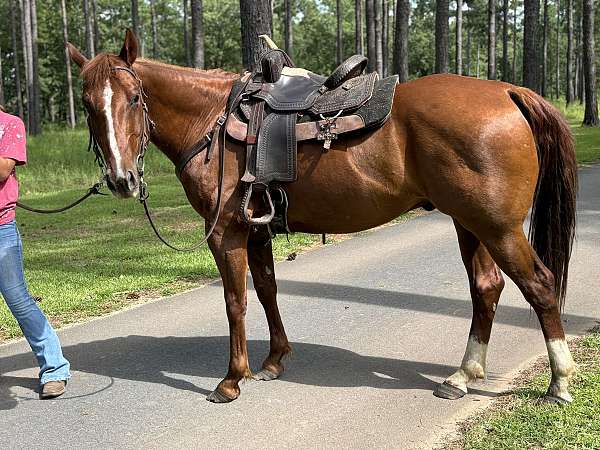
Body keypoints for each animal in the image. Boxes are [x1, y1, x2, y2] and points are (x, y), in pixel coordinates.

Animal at [65, 31, 576, 404]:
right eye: (89, 105)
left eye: (134, 98)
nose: (122, 179)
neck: (211, 120)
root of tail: (508, 91)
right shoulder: (257, 229)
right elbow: (267, 290)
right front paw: (274, 361)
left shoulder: (226, 234)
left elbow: (235, 302)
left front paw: (231, 380)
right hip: (468, 223)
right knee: (486, 288)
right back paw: (463, 376)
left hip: (497, 228)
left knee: (540, 286)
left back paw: (559, 381)